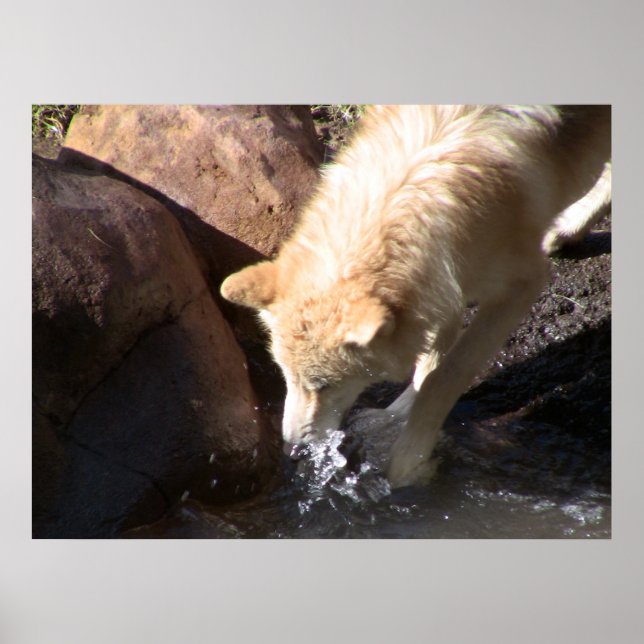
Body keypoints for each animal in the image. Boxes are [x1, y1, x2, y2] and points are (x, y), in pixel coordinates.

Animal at [221, 105, 611, 488]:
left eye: (324, 385)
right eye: (285, 376)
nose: (294, 450)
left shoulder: (521, 284)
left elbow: (446, 376)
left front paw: (409, 461)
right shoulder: (444, 281)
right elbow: (429, 365)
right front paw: (392, 419)